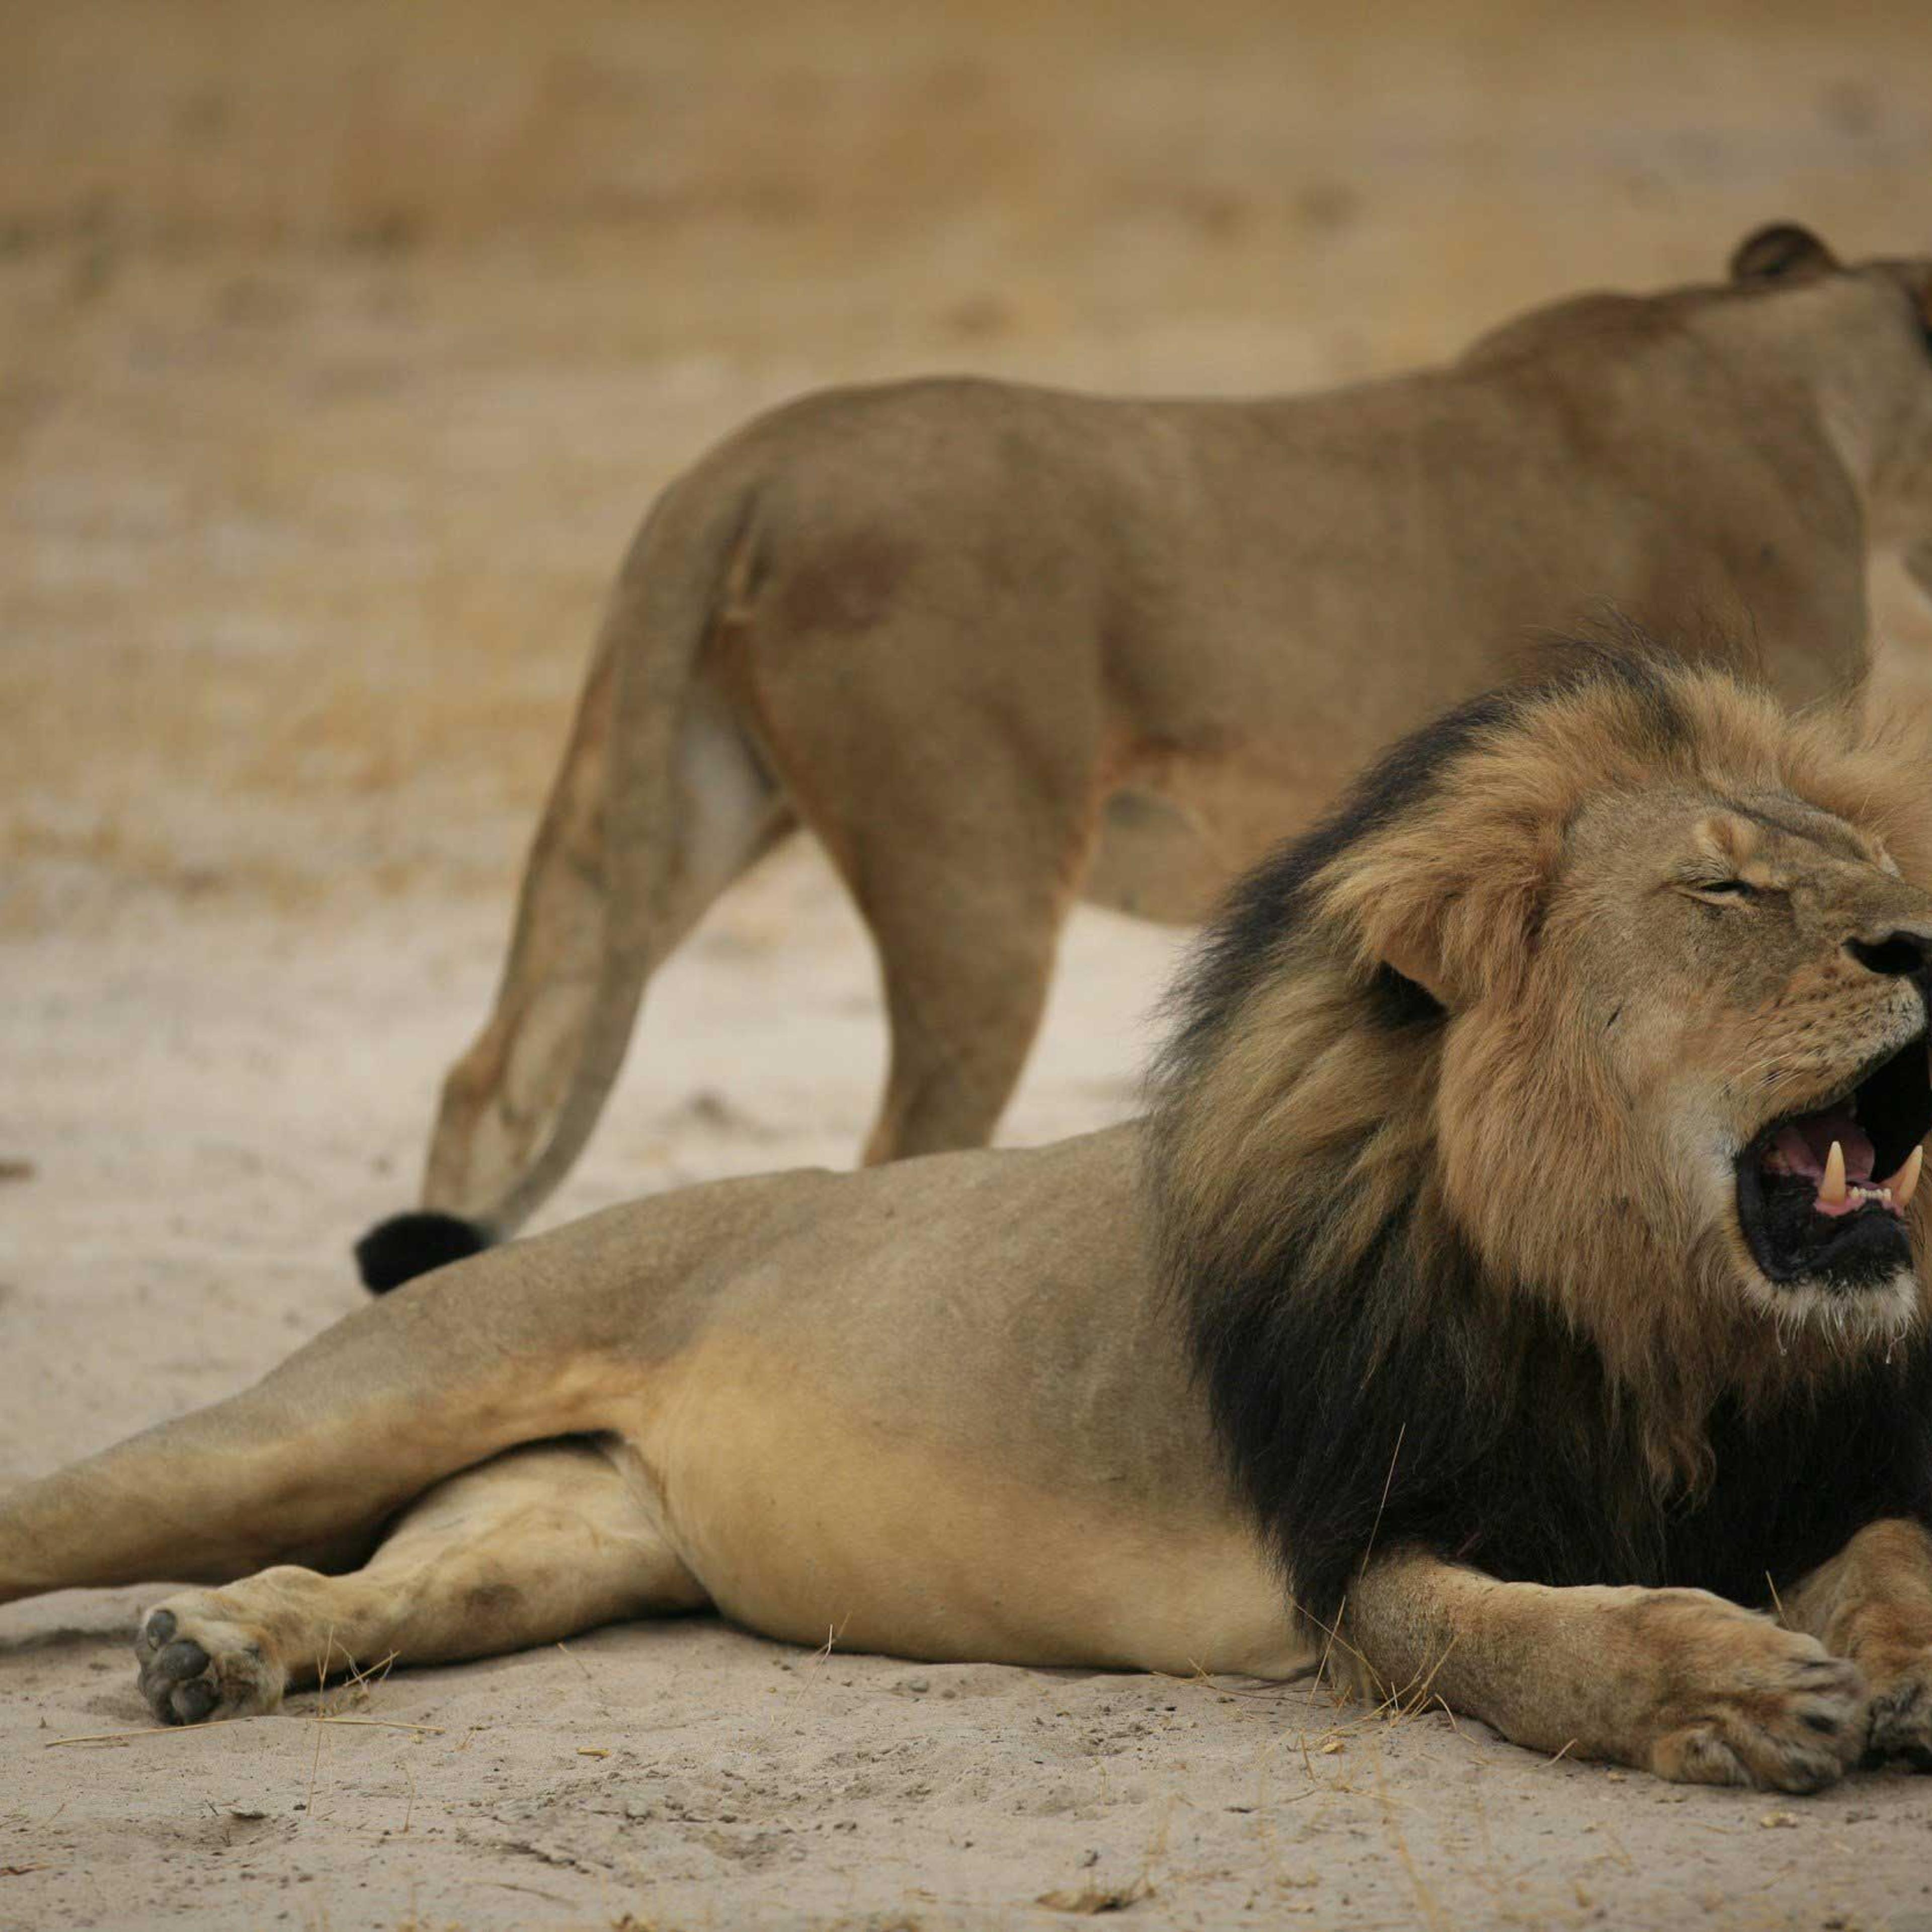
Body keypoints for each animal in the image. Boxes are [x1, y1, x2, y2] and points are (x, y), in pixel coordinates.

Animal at [9, 650, 1932, 1792]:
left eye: (1869, 869)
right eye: (1723, 889)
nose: (1919, 934)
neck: (1656, 1329)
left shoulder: (1822, 1470)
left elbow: (1893, 1560)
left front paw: (1895, 1671)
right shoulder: (1362, 1559)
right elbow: (1549, 1641)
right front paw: (1748, 1694)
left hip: (564, 1539)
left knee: (390, 1581)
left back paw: (220, 1649)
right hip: (324, 1419)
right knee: (84, 1504)